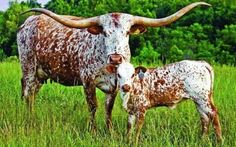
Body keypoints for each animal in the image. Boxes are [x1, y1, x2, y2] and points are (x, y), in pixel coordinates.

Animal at [17, 2, 211, 131]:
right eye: (104, 32)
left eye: (127, 32)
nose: (116, 57)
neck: (108, 67)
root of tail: (27, 22)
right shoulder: (87, 81)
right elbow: (93, 106)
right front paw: (93, 131)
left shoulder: (115, 86)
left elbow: (108, 108)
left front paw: (109, 132)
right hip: (29, 67)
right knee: (27, 93)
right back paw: (29, 120)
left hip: (41, 75)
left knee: (31, 94)